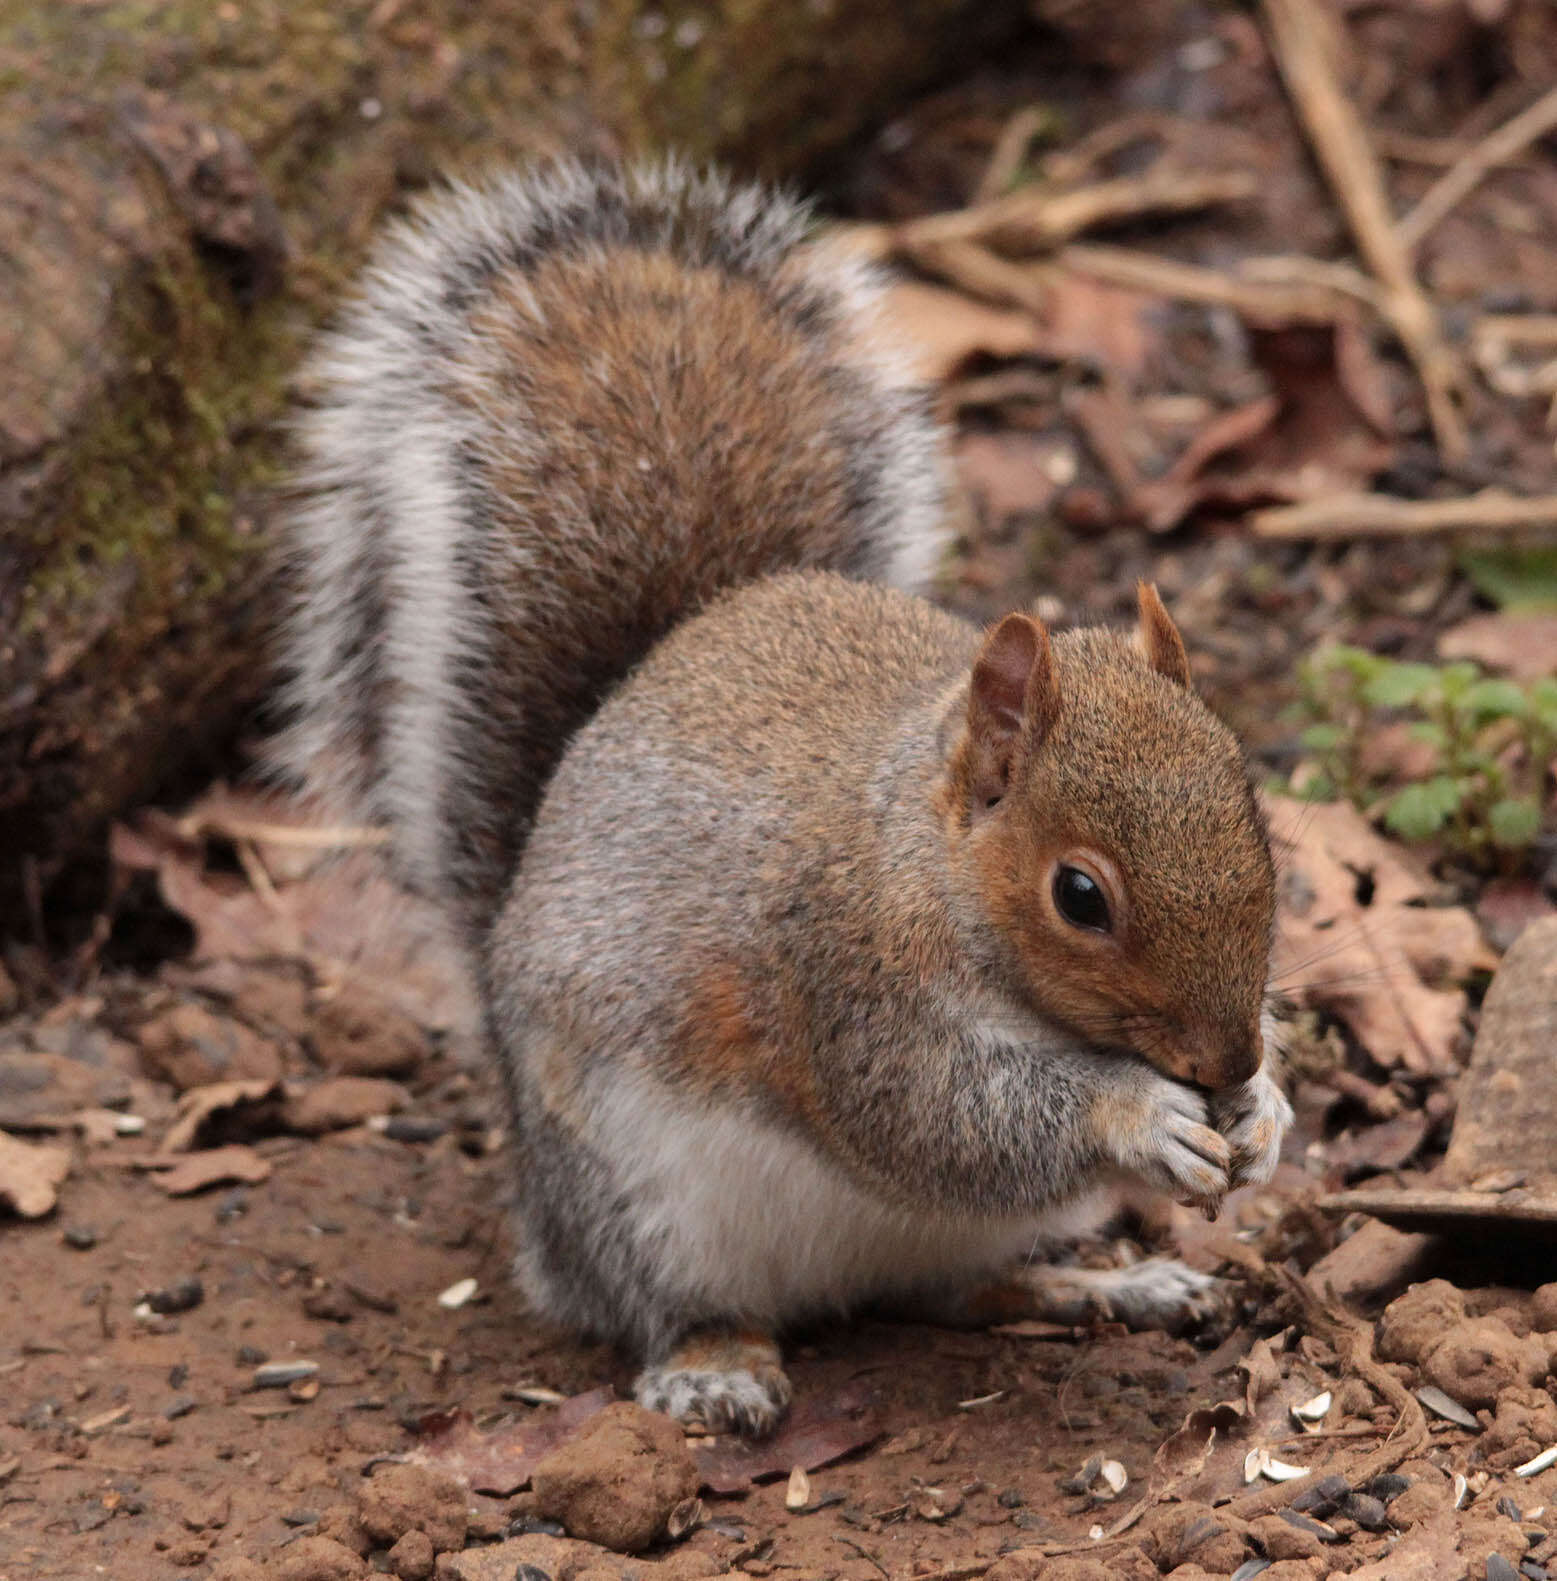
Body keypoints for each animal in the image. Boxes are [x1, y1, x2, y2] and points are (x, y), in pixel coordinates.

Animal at [276, 157, 1289, 1435]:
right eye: (1079, 897)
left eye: (1260, 825)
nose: (1227, 1063)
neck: (923, 859)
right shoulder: (840, 976)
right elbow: (939, 1116)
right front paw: (1141, 1116)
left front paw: (1268, 1115)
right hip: (643, 1199)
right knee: (673, 1302)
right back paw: (716, 1365)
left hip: (943, 1239)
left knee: (962, 1287)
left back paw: (1109, 1287)